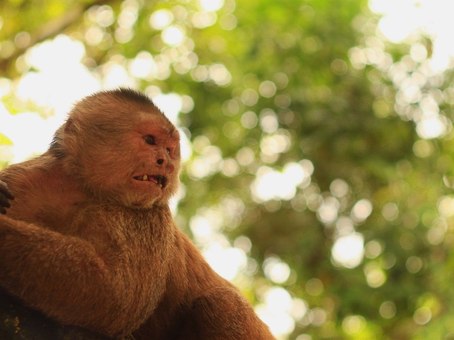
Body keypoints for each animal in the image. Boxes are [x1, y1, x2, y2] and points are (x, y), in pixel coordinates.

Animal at [0, 89, 274, 340]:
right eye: (150, 140)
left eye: (170, 149)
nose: (166, 162)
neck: (83, 190)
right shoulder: (28, 179)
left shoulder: (148, 215)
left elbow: (117, 295)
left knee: (221, 302)